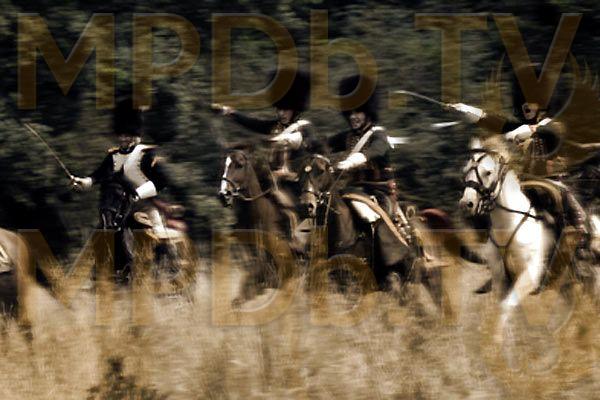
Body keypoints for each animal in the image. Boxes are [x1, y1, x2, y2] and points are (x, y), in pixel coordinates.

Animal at [459, 137, 580, 339]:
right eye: (466, 170)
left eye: (488, 172)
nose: (466, 204)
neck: (508, 229)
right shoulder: (500, 278)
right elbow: (500, 309)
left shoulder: (529, 277)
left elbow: (506, 307)